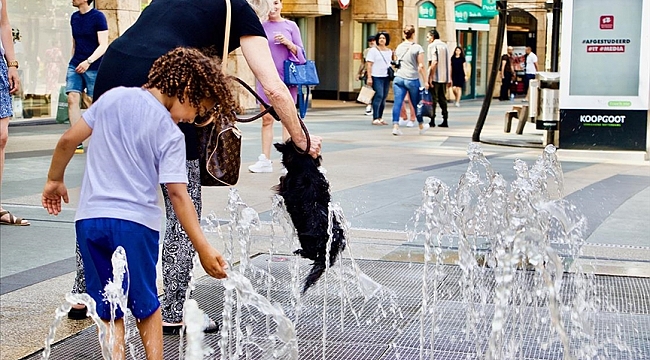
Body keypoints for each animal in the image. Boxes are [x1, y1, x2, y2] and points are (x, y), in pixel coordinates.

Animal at [272, 139, 344, 294]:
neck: (307, 170)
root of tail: (335, 240)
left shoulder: (286, 186)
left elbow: (282, 181)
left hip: (305, 239)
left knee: (311, 254)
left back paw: (299, 251)